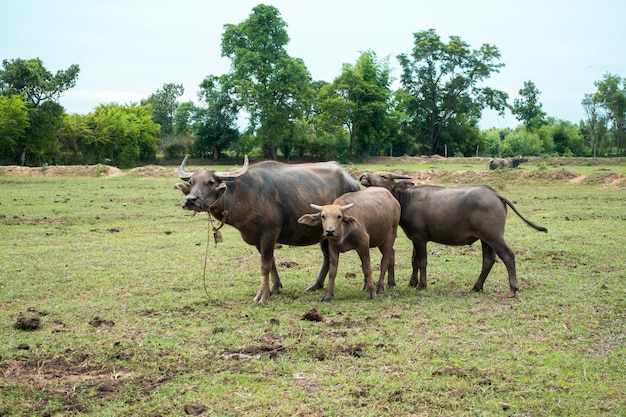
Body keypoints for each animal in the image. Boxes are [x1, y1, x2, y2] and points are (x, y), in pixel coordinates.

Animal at [176, 156, 360, 302]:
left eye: (210, 182)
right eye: (191, 182)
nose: (190, 200)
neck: (245, 195)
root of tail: (353, 182)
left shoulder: (269, 234)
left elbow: (264, 265)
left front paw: (262, 295)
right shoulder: (259, 240)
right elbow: (271, 263)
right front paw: (275, 288)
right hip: (324, 234)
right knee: (326, 257)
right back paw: (315, 285)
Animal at [358, 171, 544, 296]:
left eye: (384, 176)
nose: (364, 175)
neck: (406, 199)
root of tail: (496, 194)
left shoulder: (419, 237)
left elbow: (422, 261)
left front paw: (421, 285)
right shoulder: (415, 238)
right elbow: (414, 261)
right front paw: (412, 282)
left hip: (494, 236)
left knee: (508, 255)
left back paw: (513, 289)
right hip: (485, 239)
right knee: (489, 260)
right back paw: (476, 286)